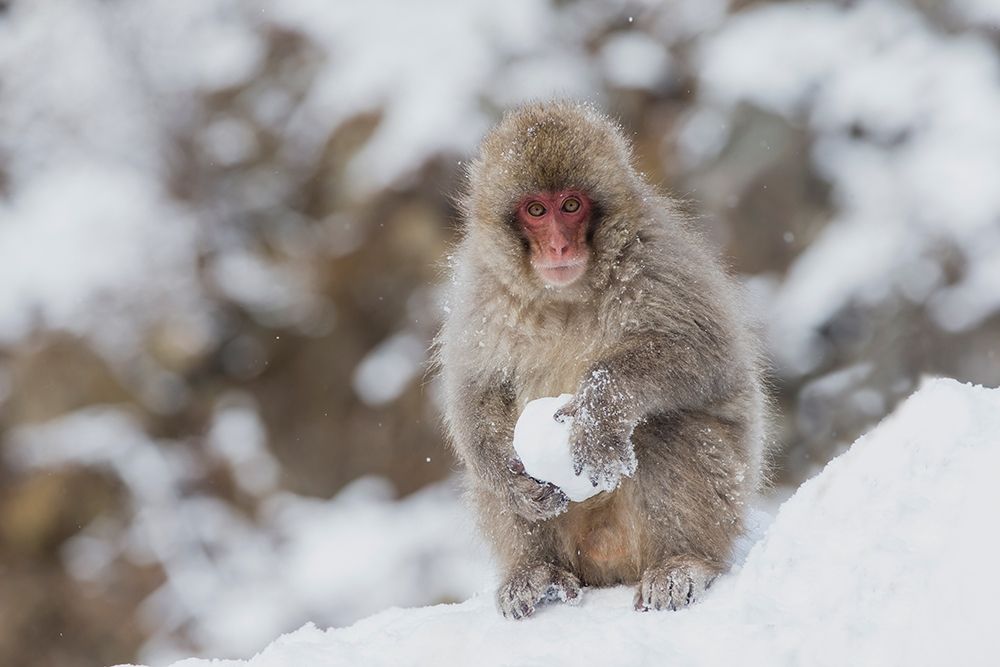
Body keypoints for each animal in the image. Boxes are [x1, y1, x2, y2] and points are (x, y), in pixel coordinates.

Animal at [436, 101, 768, 619]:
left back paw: (682, 562)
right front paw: (510, 478)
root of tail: (606, 564)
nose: (559, 246)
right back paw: (536, 573)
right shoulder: (481, 294)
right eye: (536, 209)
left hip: (722, 503)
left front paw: (598, 412)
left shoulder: (657, 262)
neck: (566, 295)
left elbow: (709, 355)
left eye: (571, 205)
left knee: (666, 428)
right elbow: (476, 388)